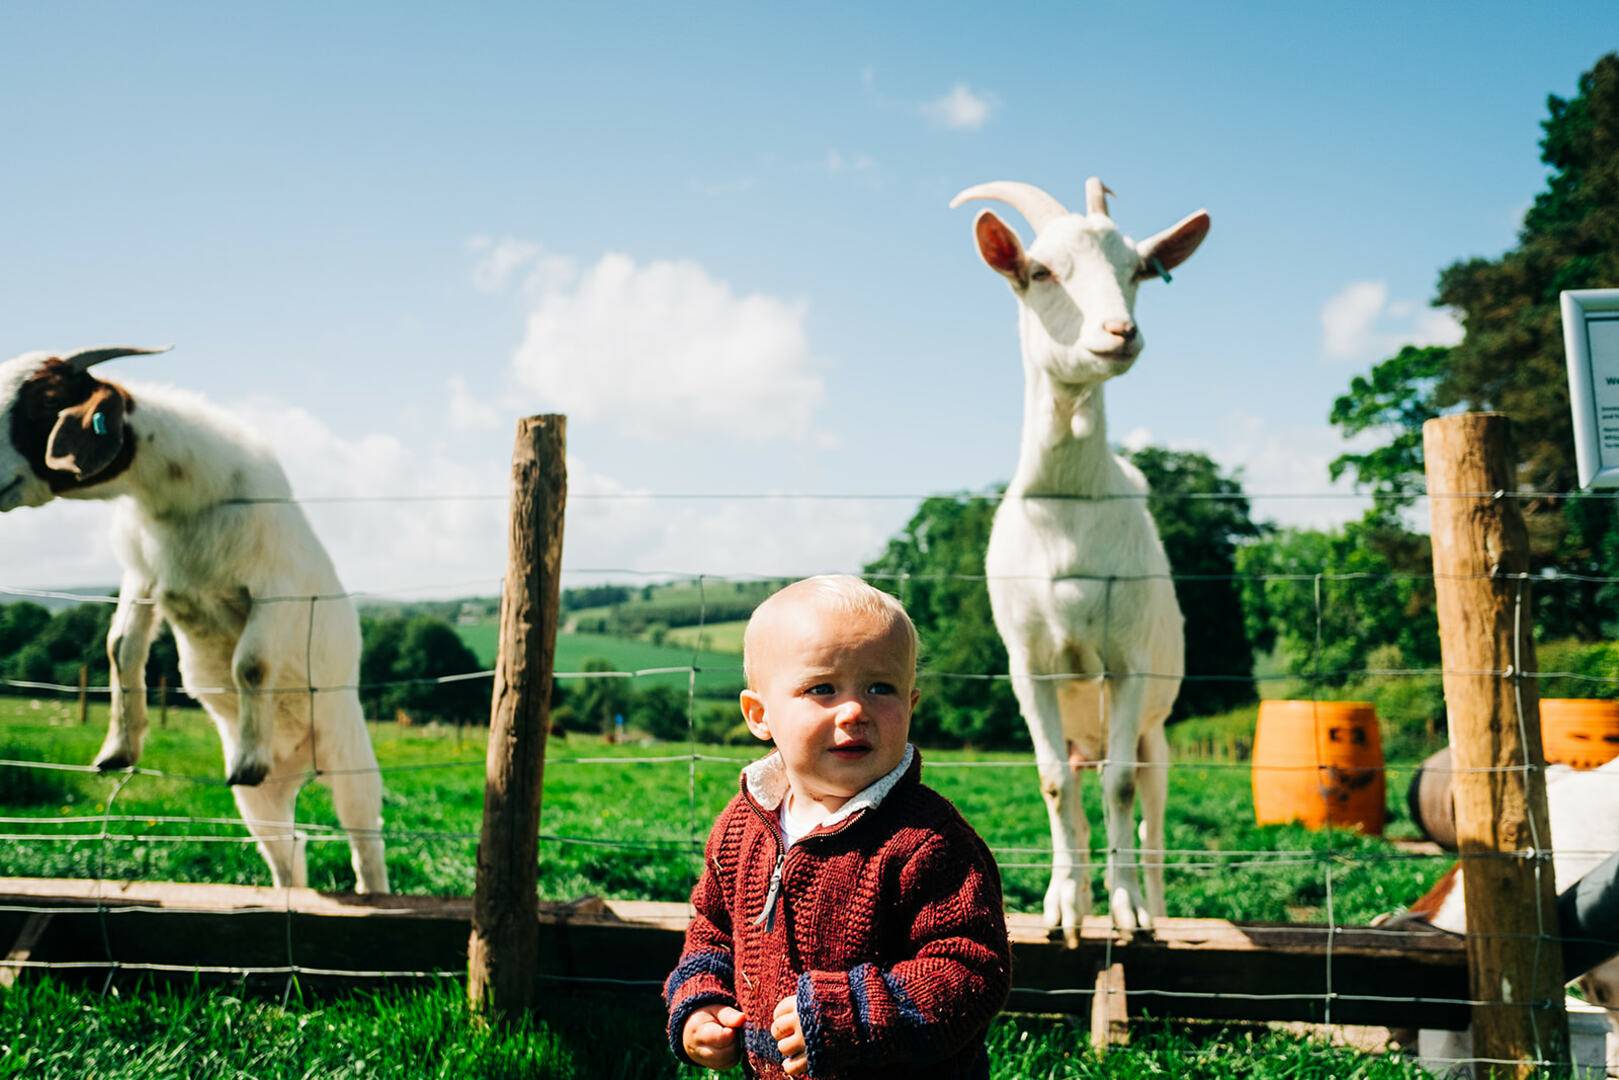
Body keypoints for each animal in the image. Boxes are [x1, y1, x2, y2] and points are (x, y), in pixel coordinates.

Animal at [0, 346, 390, 893]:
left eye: (44, 404)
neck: (176, 500)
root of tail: (300, 768)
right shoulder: (143, 577)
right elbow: (121, 646)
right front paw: (117, 750)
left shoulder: (275, 586)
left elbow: (251, 663)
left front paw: (249, 759)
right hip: (261, 803)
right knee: (289, 850)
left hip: (349, 758)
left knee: (365, 841)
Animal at [951, 179, 1211, 939]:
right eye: (1039, 272)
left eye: (1139, 271)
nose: (1119, 333)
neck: (1068, 508)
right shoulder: (1029, 664)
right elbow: (1052, 783)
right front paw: (1064, 905)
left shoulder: (1127, 661)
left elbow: (1118, 787)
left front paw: (1127, 911)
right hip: (1077, 728)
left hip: (1157, 735)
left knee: (1149, 819)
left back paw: (1150, 903)